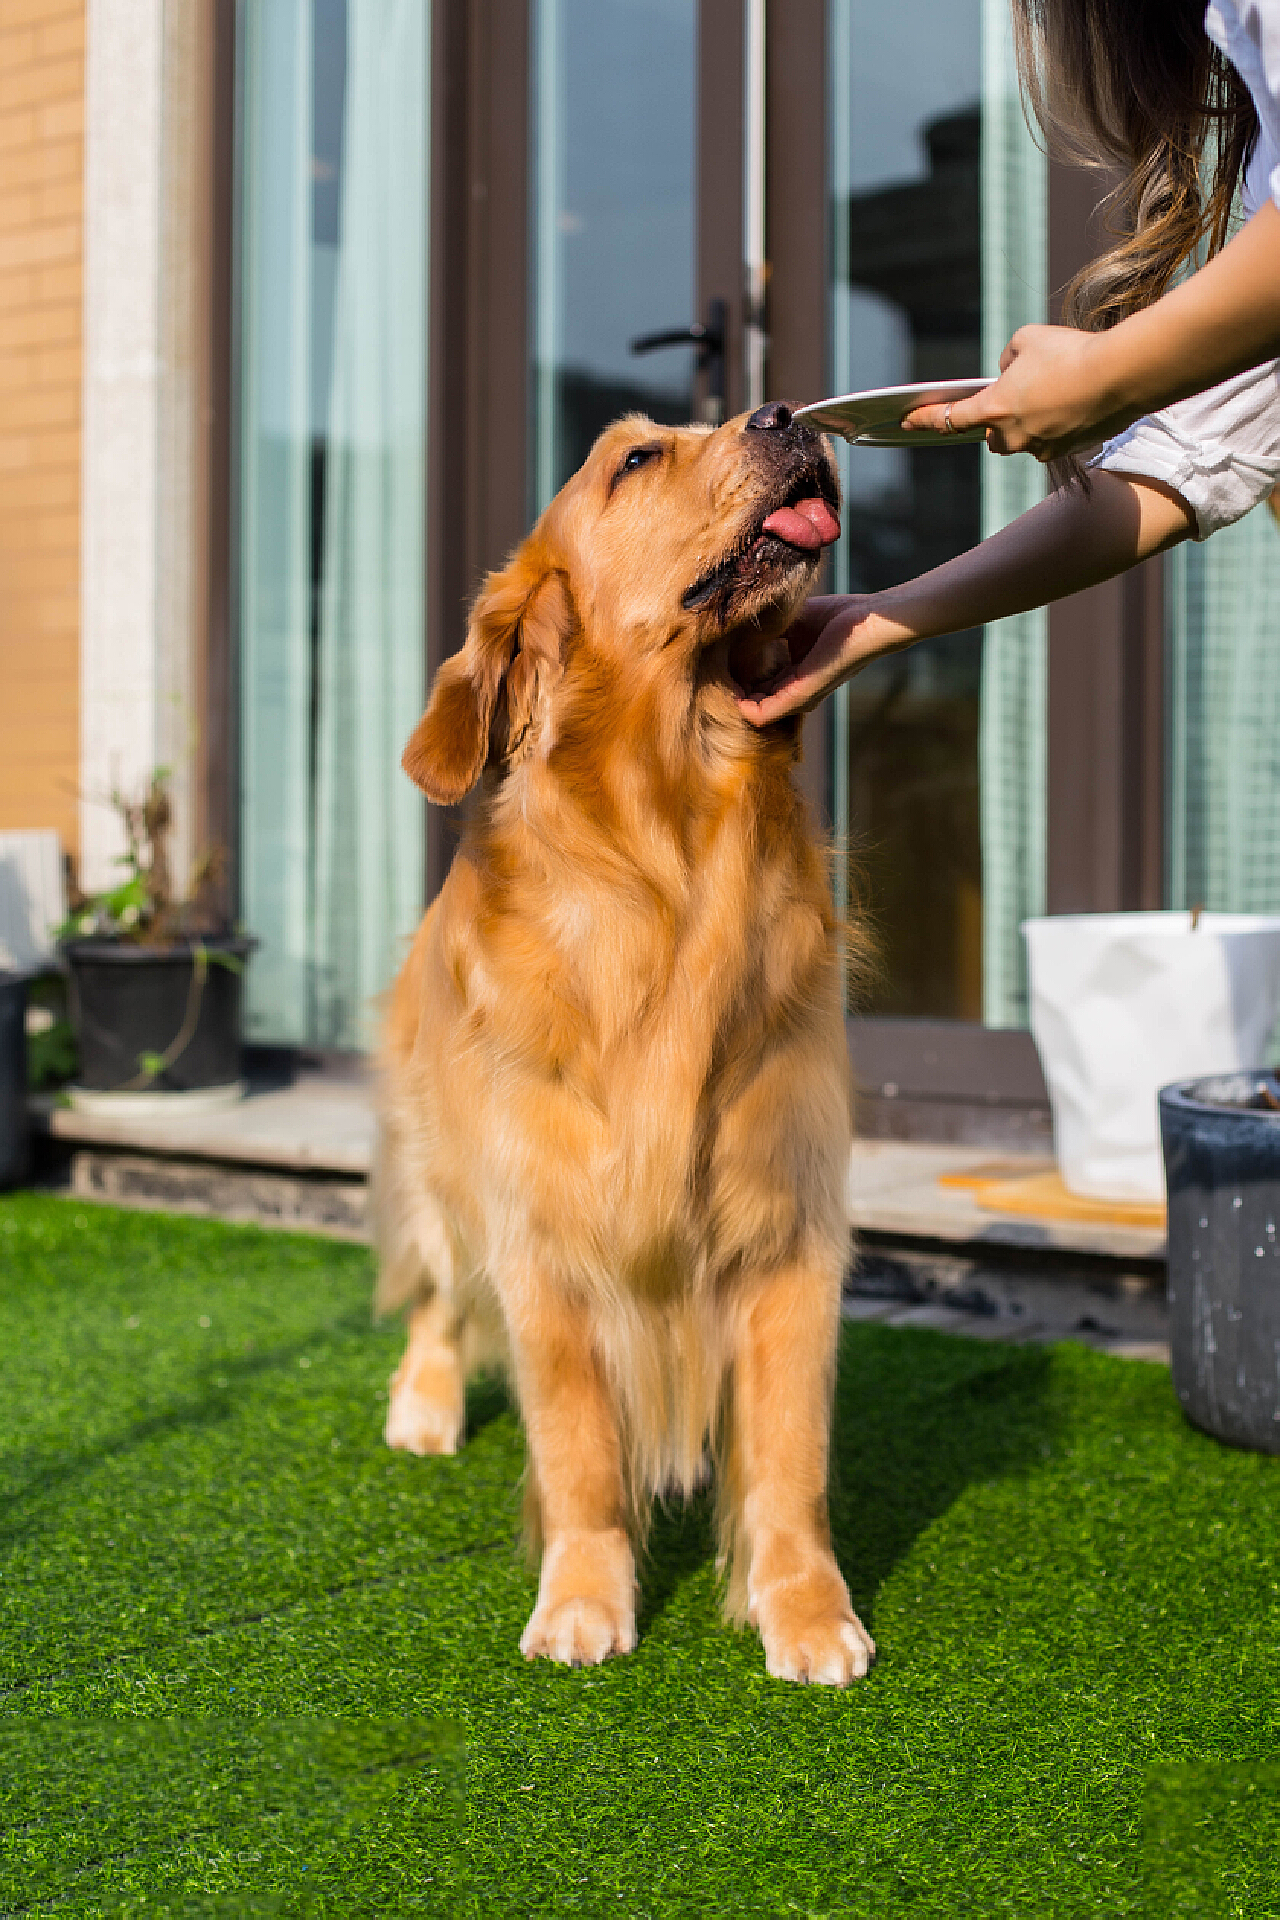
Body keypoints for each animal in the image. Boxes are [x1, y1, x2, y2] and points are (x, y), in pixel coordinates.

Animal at [370, 401, 871, 1681]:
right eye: (634, 459)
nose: (784, 414)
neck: (671, 854)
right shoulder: (541, 1238)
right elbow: (581, 1453)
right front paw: (584, 1601)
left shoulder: (787, 1225)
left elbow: (791, 1457)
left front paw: (803, 1611)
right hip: (444, 1171)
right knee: (436, 1293)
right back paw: (423, 1407)